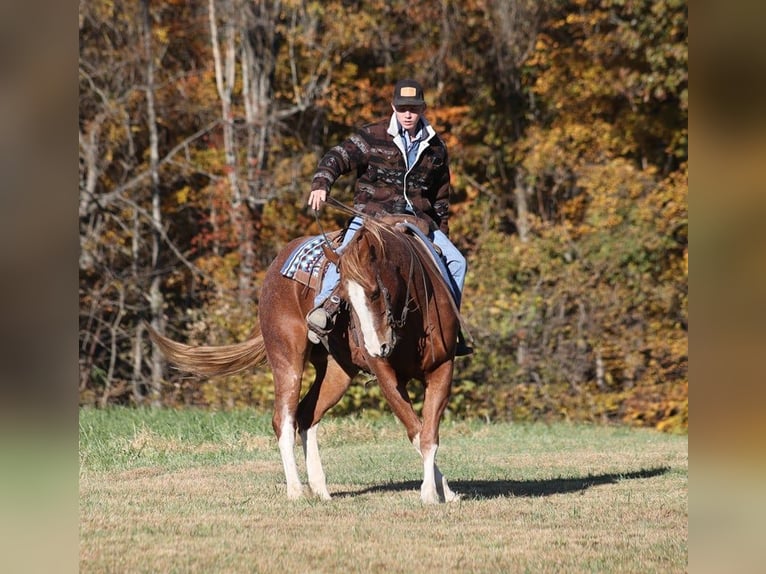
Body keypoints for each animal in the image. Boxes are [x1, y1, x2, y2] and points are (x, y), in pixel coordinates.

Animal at [148, 212, 464, 504]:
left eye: (375, 293)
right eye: (345, 296)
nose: (377, 347)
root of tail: (276, 264)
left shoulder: (442, 368)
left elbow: (428, 434)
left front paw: (444, 492)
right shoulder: (386, 375)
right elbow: (416, 431)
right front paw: (429, 493)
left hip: (338, 371)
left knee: (306, 415)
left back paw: (321, 489)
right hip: (287, 359)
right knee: (284, 419)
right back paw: (296, 490)